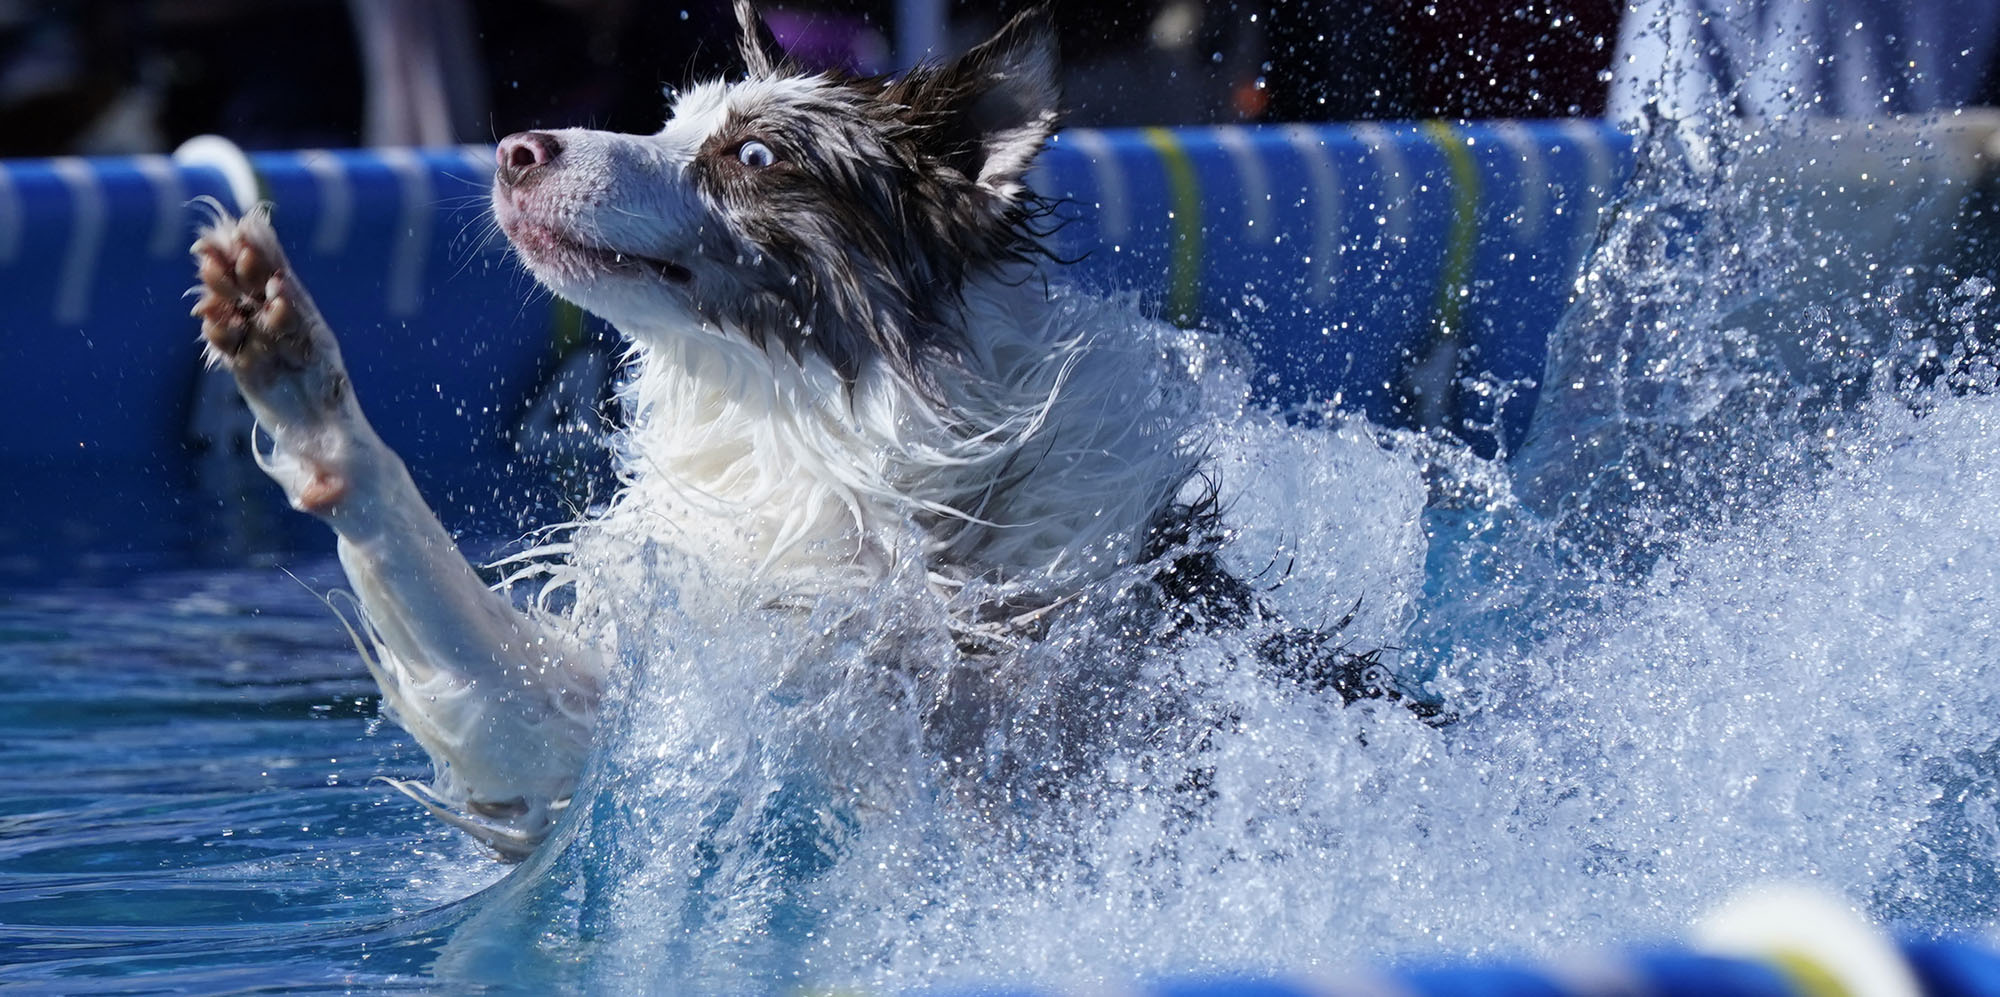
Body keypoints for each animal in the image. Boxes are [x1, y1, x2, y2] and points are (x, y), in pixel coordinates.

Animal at [188, 0, 1432, 860]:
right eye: (664, 120)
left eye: (753, 156)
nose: (515, 149)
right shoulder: (619, 726)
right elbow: (446, 609)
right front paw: (293, 375)